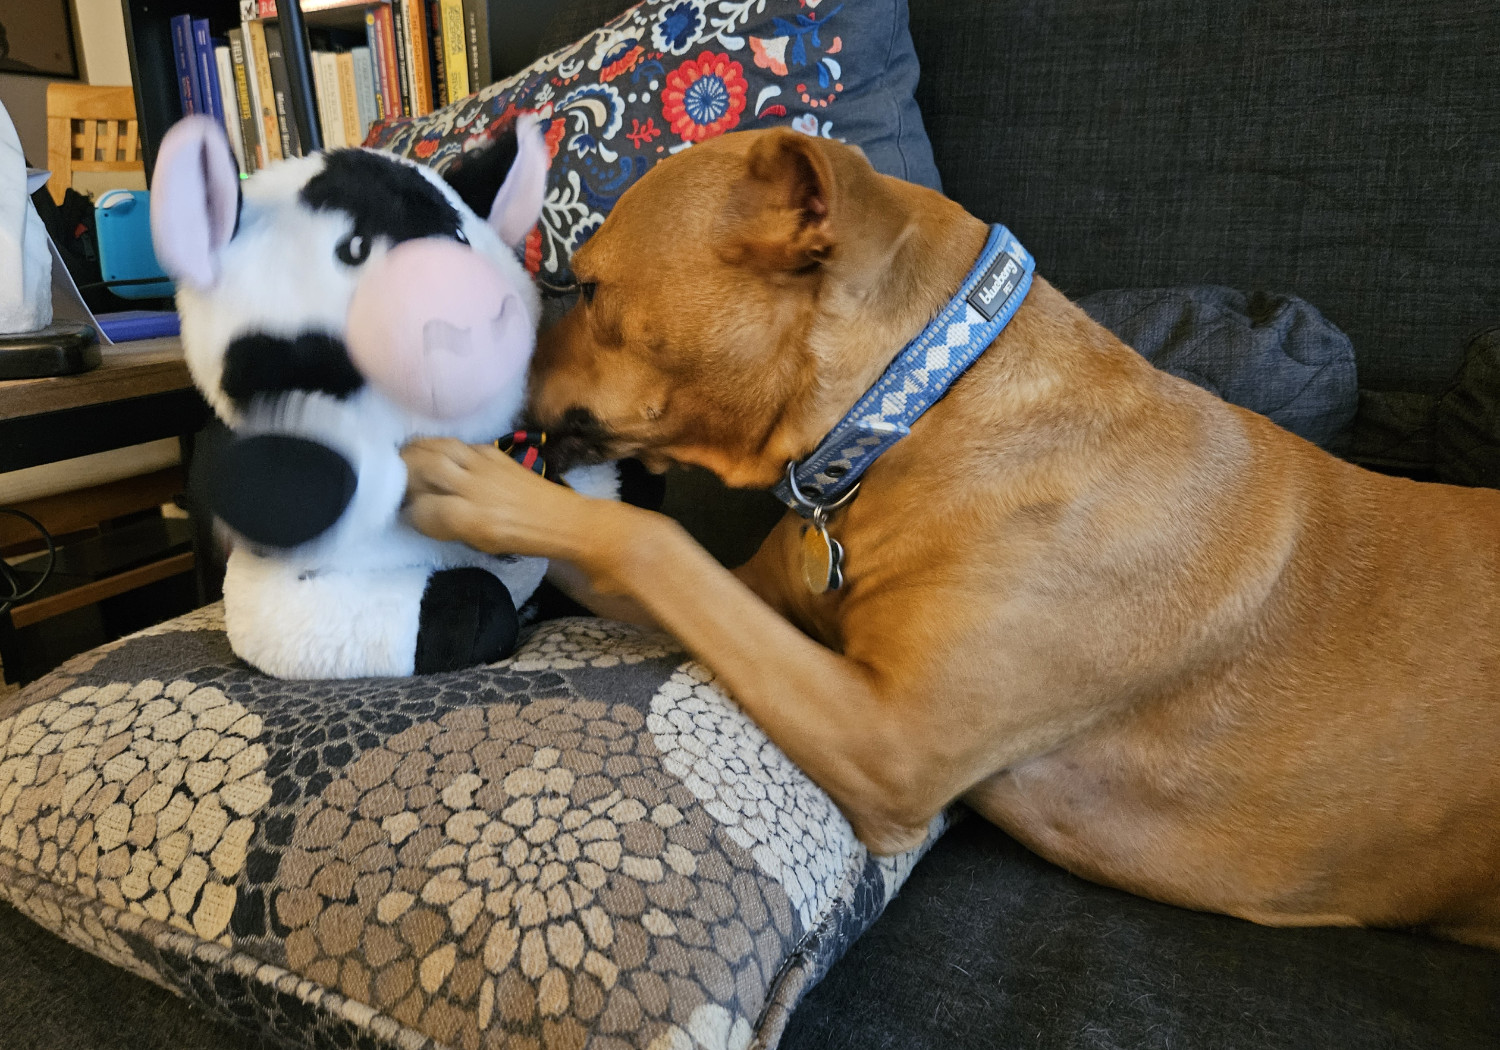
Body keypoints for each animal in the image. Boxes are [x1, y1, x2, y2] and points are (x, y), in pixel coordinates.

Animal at [405, 127, 1500, 948]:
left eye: (584, 289)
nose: (486, 378)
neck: (917, 410)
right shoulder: (760, 609)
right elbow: (649, 560)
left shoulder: (890, 742)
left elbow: (648, 541)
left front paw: (487, 489)